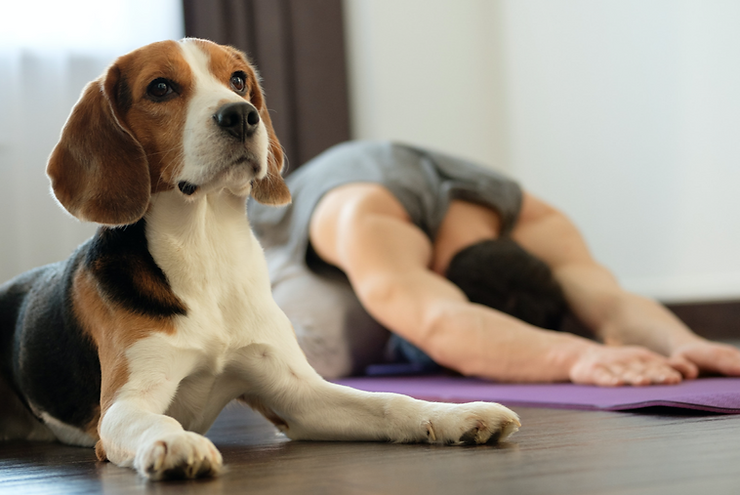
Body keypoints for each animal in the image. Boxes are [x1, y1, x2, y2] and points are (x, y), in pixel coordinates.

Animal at [0, 38, 520, 480]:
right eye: (160, 88)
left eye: (238, 80)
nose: (242, 116)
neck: (206, 249)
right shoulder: (124, 404)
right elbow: (155, 422)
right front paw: (178, 444)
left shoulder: (299, 395)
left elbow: (392, 402)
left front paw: (457, 415)